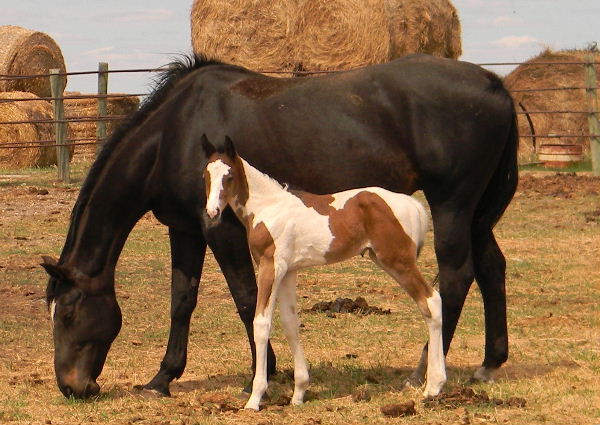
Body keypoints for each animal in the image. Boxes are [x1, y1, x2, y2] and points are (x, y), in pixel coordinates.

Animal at [202, 134, 446, 409]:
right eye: (206, 175)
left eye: (229, 176)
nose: (212, 212)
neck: (268, 208)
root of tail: (414, 204)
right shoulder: (288, 272)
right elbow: (290, 324)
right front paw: (299, 393)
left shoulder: (270, 266)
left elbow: (261, 324)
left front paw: (255, 397)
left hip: (398, 261)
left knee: (431, 301)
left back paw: (433, 387)